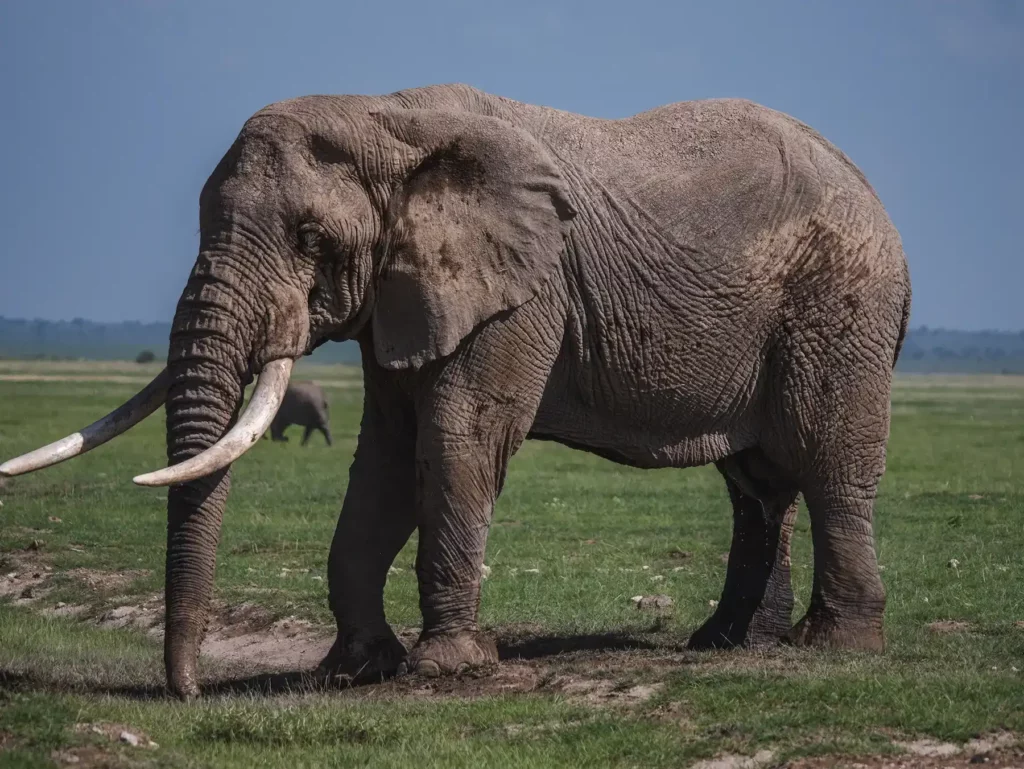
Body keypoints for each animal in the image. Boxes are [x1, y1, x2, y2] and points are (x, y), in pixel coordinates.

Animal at [1, 83, 911, 698]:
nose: (185, 692)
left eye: (310, 239)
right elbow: (386, 458)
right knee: (757, 481)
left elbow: (457, 438)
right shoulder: (401, 295)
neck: (386, 119)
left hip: (841, 306)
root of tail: (877, 197)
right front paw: (354, 667)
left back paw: (835, 647)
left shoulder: (524, 292)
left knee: (828, 462)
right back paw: (726, 643)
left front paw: (446, 667)